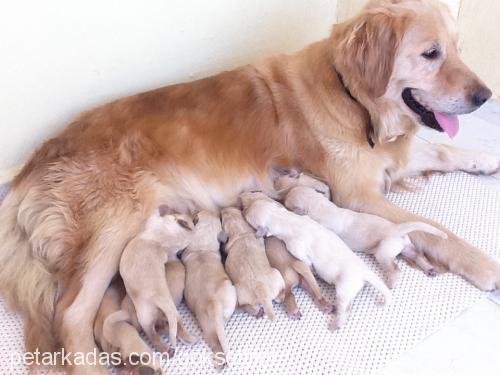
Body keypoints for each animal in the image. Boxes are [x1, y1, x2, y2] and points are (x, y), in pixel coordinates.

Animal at [120, 209, 197, 358]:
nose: (195, 216)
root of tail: (158, 299)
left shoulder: (154, 221)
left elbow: (153, 216)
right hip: (166, 312)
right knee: (175, 326)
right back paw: (185, 341)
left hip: (145, 315)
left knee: (152, 335)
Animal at [183, 212, 237, 370]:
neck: (202, 248)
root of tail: (213, 303)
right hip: (231, 293)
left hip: (207, 327)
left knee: (215, 343)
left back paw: (219, 364)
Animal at [242, 192, 390, 330]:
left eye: (247, 217)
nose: (243, 210)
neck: (283, 218)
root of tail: (364, 270)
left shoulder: (295, 248)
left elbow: (307, 262)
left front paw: (312, 270)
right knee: (348, 307)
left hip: (343, 288)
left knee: (343, 309)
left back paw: (335, 324)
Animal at [284, 185, 448, 288]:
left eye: (286, 205)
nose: (281, 201)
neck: (319, 205)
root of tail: (397, 228)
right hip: (405, 247)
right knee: (418, 255)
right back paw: (429, 269)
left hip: (384, 252)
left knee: (395, 269)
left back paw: (391, 283)